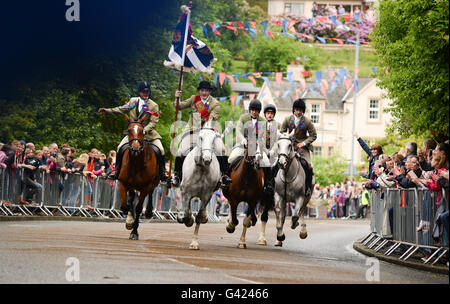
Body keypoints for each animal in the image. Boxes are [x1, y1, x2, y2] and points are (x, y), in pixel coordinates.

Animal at [176, 122, 221, 251]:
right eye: (201, 138)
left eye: (213, 139)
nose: (207, 159)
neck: (201, 169)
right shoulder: (185, 193)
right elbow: (187, 214)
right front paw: (188, 220)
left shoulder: (207, 195)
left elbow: (199, 216)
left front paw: (194, 243)